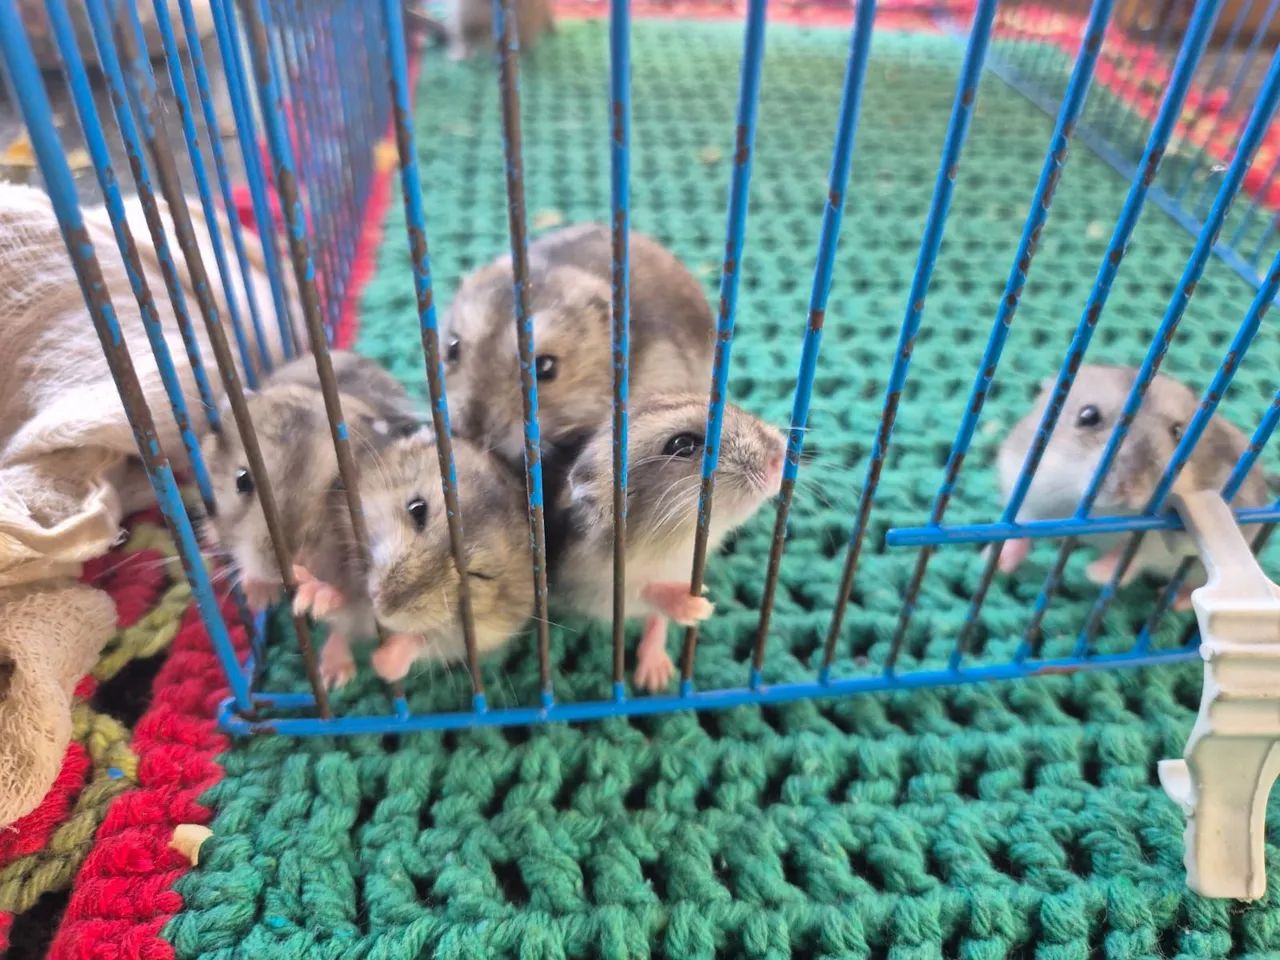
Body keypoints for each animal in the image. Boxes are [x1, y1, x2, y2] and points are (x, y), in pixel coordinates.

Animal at [549, 394, 785, 692]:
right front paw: (696, 606)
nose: (781, 454)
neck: (673, 545)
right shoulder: (584, 587)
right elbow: (639, 591)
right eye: (682, 444)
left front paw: (656, 678)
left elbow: (656, 618)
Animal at [995, 364, 1268, 599]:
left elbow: (1133, 554)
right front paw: (997, 562)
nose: (1128, 490)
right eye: (1087, 416)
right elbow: (1020, 528)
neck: (1102, 514)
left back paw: (1174, 598)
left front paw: (1093, 574)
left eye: (1178, 433)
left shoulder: (1158, 539)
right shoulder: (1026, 490)